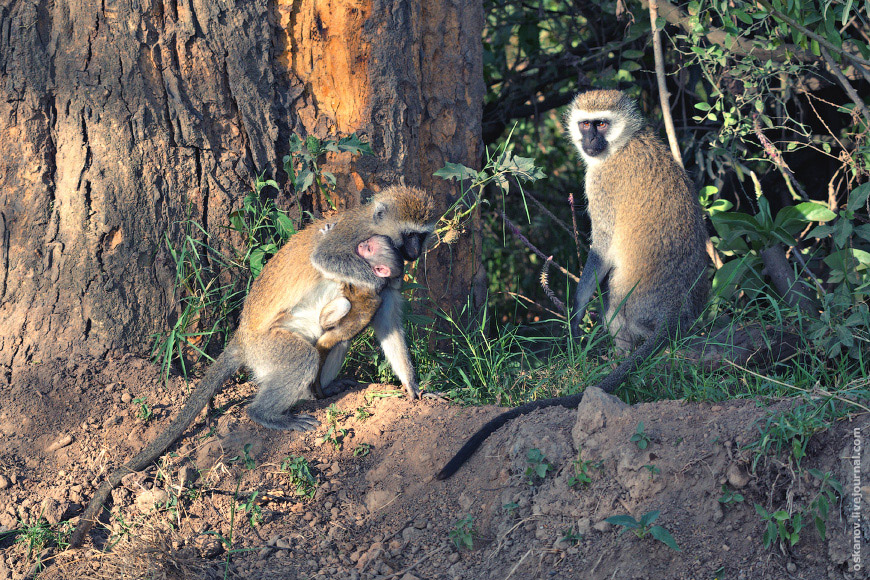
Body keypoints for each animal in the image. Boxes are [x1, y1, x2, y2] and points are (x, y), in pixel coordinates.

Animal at [436, 90, 716, 480]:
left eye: (601, 124)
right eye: (585, 124)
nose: (590, 140)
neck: (627, 141)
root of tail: (676, 310)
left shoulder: (601, 182)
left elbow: (603, 246)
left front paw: (576, 314)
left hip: (635, 307)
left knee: (614, 309)